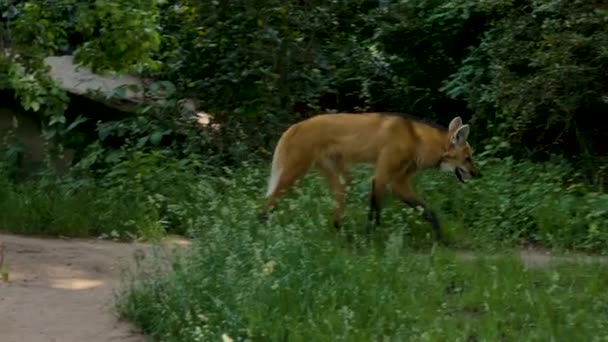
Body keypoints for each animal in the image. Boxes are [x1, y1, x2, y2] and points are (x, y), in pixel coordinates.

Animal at [258, 112, 482, 240]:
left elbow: (428, 211)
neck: (416, 141)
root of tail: (295, 126)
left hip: (340, 179)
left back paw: (341, 232)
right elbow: (375, 214)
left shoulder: (398, 182)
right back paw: (262, 230)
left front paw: (440, 238)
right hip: (294, 174)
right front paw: (370, 242)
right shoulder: (381, 177)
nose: (478, 174)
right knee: (269, 202)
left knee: (338, 208)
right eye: (468, 158)